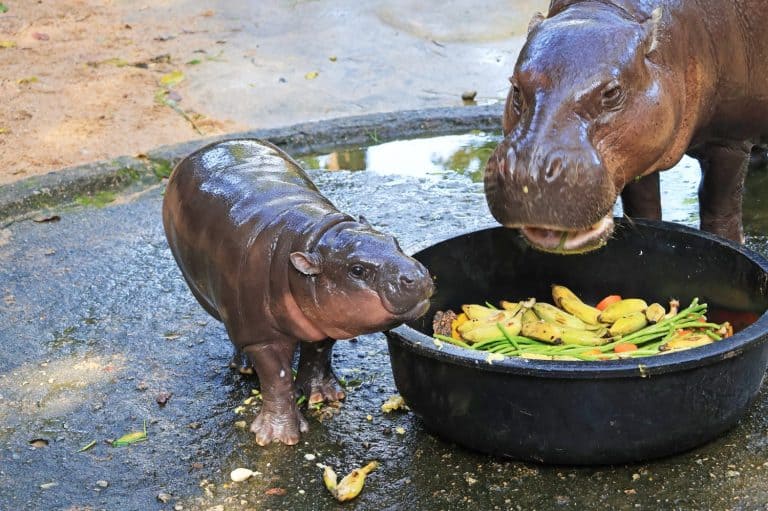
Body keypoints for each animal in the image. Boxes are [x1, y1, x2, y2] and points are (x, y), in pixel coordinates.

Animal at [162, 139, 434, 445]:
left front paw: (324, 397)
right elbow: (277, 378)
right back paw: (244, 366)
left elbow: (318, 353)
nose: (415, 275)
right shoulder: (262, 338)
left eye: (392, 239)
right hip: (216, 301)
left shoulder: (322, 319)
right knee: (234, 333)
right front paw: (277, 436)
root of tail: (205, 148)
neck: (310, 238)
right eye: (357, 270)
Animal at [484, 0, 768, 253]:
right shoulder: (640, 153)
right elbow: (644, 206)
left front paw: (730, 241)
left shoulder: (729, 140)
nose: (528, 172)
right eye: (515, 87)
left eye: (612, 92)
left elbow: (719, 207)